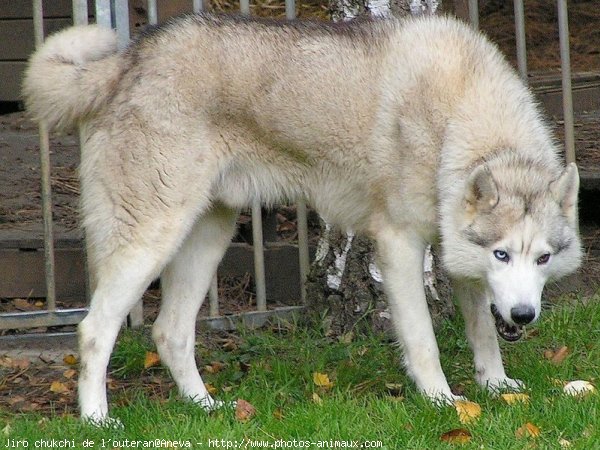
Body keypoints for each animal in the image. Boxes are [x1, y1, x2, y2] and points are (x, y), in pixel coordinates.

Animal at [23, 13, 580, 422]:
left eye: (543, 258)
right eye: (501, 254)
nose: (524, 316)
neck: (460, 116)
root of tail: (128, 58)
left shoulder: (455, 255)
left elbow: (483, 334)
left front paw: (498, 387)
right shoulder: (400, 247)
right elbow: (425, 343)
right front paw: (445, 402)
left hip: (207, 241)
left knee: (169, 332)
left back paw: (208, 408)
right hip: (150, 243)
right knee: (93, 330)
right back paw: (97, 421)